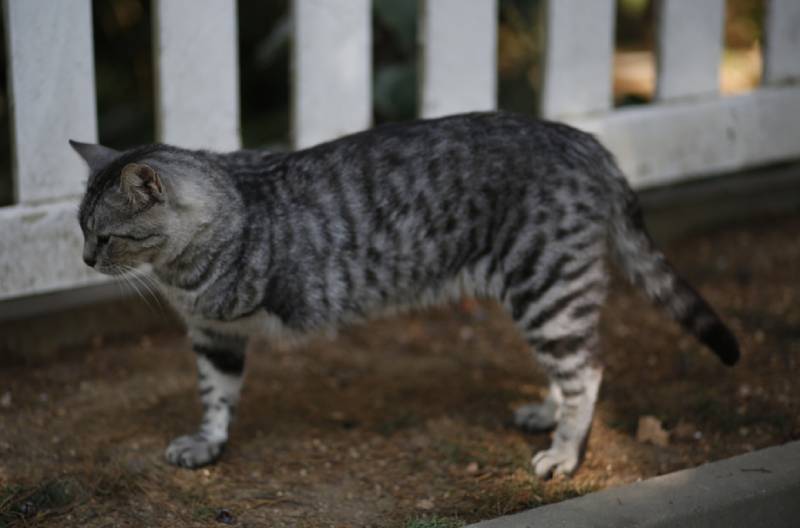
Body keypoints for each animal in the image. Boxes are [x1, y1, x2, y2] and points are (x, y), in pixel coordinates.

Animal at [70, 112, 736, 478]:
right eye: (80, 228)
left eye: (106, 235)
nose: (85, 259)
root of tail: (588, 141)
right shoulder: (215, 335)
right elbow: (216, 394)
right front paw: (208, 442)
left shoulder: (222, 318)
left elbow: (219, 387)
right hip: (548, 292)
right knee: (569, 365)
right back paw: (546, 414)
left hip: (546, 283)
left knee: (587, 369)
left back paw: (565, 451)